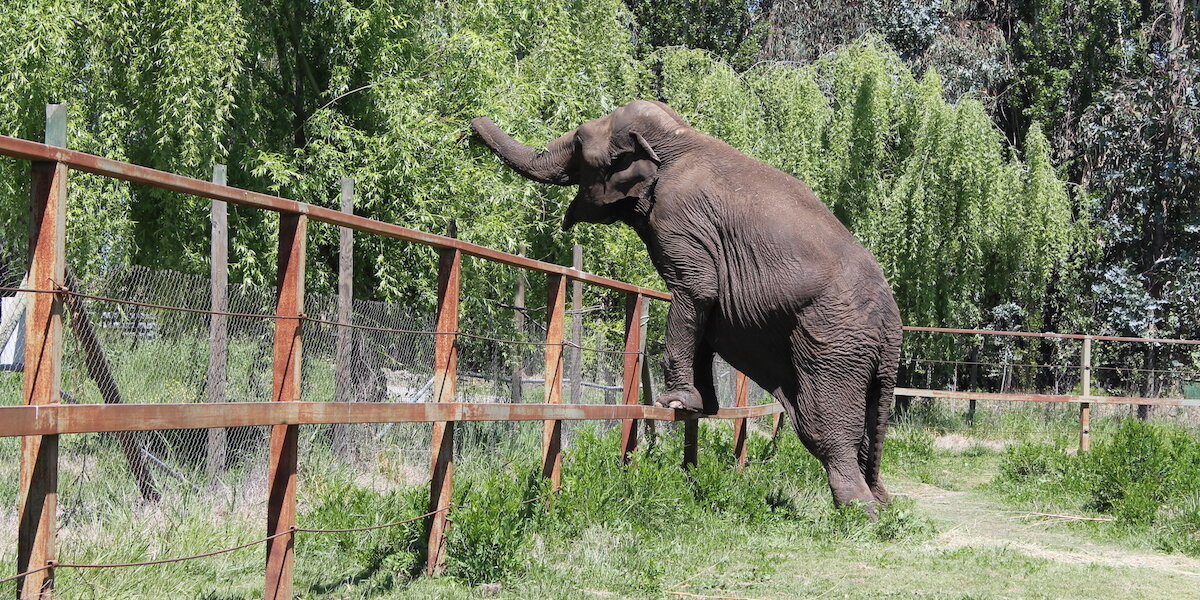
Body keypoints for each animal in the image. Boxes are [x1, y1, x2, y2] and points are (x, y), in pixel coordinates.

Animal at [468, 98, 902, 511]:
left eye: (577, 141)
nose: (470, 125)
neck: (677, 136)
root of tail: (894, 326)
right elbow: (707, 314)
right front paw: (702, 405)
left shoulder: (679, 217)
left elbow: (697, 290)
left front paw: (675, 402)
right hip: (867, 361)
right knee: (866, 431)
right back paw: (881, 503)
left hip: (833, 343)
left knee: (827, 429)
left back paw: (859, 514)